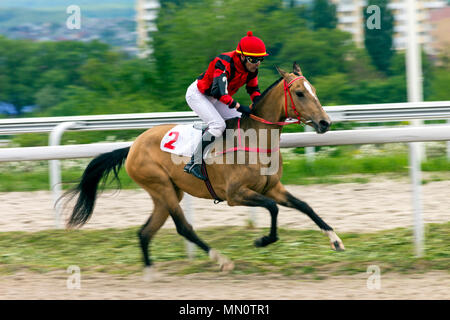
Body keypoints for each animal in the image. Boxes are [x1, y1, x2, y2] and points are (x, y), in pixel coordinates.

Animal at [63, 62, 344, 276]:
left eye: (314, 90)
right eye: (299, 93)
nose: (325, 123)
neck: (257, 139)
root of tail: (132, 146)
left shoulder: (272, 186)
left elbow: (304, 206)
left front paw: (335, 240)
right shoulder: (235, 195)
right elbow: (273, 208)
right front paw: (263, 240)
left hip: (166, 193)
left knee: (144, 232)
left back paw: (150, 273)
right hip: (161, 186)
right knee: (183, 227)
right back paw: (222, 260)